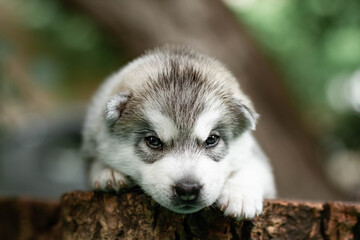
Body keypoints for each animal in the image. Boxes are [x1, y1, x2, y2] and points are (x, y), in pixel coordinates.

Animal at [83, 45, 276, 219]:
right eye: (153, 141)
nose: (188, 189)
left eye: (211, 139)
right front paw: (108, 172)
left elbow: (254, 165)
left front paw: (241, 193)